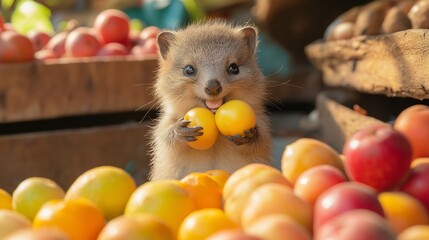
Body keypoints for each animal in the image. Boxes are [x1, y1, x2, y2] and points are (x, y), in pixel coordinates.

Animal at [149, 21, 272, 180]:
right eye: (188, 69)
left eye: (234, 68)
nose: (213, 87)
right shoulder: (163, 133)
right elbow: (166, 137)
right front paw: (180, 130)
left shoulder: (263, 129)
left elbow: (260, 140)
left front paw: (250, 135)